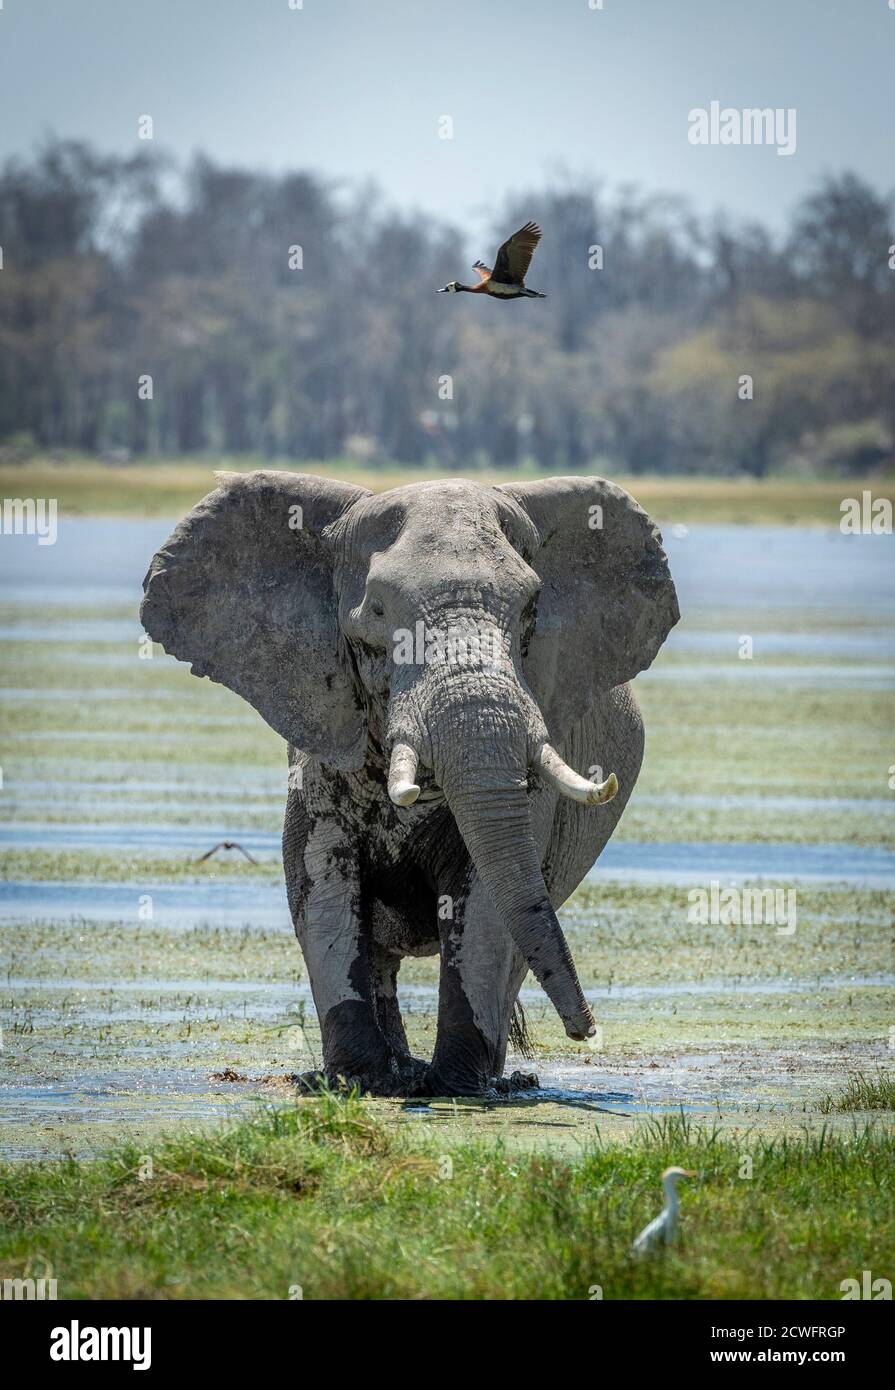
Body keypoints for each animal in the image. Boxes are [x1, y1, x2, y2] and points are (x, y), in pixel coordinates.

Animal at [139, 472, 678, 1089]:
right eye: (375, 611)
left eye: (531, 608)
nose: (585, 1030)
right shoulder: (320, 755)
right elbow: (322, 889)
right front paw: (360, 1082)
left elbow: (485, 903)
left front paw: (458, 1087)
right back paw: (400, 1073)